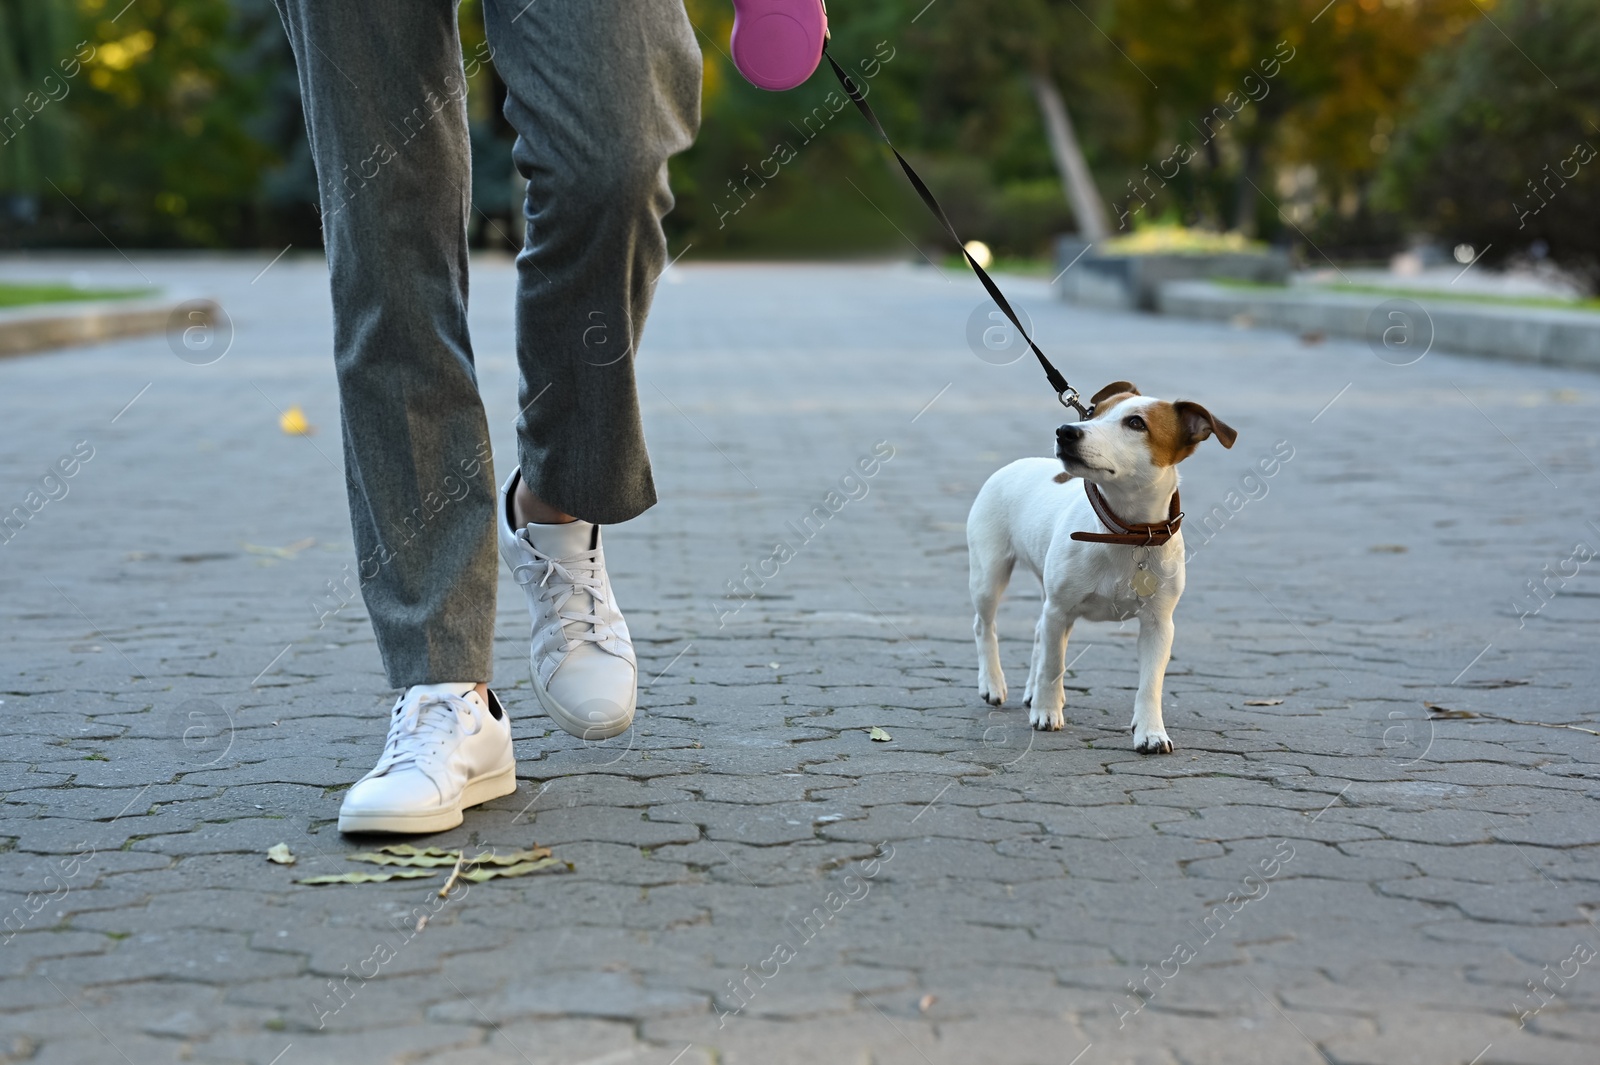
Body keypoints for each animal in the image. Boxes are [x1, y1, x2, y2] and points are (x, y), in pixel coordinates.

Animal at [960, 377, 1235, 751]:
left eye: (1136, 423)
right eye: (1093, 413)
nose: (1066, 431)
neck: (1123, 533)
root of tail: (1017, 463)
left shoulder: (1159, 624)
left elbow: (1151, 684)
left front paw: (1151, 732)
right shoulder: (1059, 610)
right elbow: (1053, 666)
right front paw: (1047, 712)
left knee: (1038, 633)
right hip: (990, 573)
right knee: (985, 625)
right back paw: (994, 684)